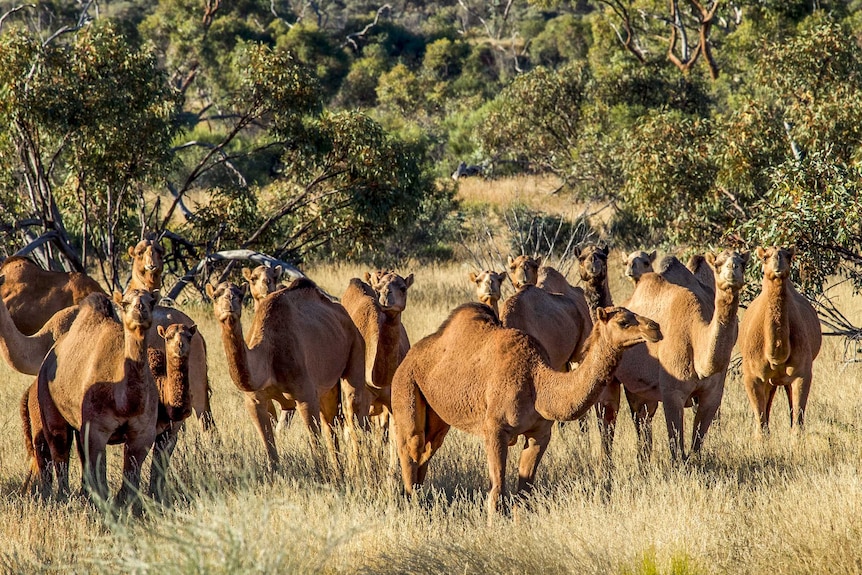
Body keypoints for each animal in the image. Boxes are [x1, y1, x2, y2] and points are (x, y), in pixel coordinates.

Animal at [37, 290, 160, 506]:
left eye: (152, 302)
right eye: (125, 303)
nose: (140, 310)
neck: (125, 404)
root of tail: (48, 357)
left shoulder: (143, 433)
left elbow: (132, 473)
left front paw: (129, 504)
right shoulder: (97, 429)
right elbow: (99, 469)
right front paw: (105, 503)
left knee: (79, 452)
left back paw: (84, 493)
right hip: (47, 399)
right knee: (59, 447)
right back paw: (64, 496)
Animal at [207, 280, 368, 468]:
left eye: (240, 295)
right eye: (215, 295)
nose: (229, 303)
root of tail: (344, 315)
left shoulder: (305, 396)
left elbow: (315, 445)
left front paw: (320, 472)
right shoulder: (254, 401)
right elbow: (270, 449)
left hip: (356, 345)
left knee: (353, 410)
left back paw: (359, 466)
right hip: (327, 386)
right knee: (331, 421)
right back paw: (339, 469)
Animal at [392, 304, 660, 520]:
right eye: (623, 322)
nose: (655, 327)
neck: (538, 384)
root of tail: (409, 355)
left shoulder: (539, 434)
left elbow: (524, 493)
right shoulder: (495, 430)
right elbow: (497, 492)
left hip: (438, 418)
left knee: (426, 453)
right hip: (406, 387)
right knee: (411, 449)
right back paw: (413, 509)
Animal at [616, 250, 748, 462]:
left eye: (743, 263)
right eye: (718, 264)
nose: (732, 270)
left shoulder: (712, 394)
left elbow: (697, 443)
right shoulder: (672, 392)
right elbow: (676, 446)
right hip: (632, 388)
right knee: (640, 422)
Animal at [744, 248, 824, 432]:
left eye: (788, 256)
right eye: (765, 257)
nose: (778, 267)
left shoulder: (802, 373)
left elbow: (798, 421)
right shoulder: (752, 376)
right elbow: (761, 423)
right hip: (769, 381)